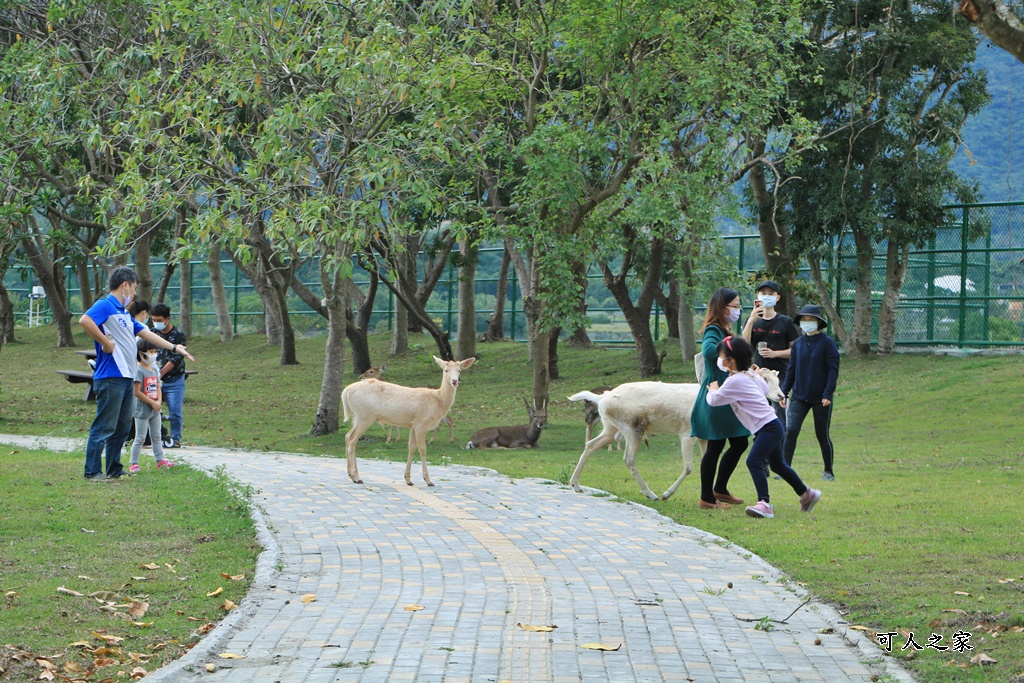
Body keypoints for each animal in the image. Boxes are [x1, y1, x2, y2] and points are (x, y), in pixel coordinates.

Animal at [342, 358, 473, 485]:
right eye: (446, 370)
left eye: (459, 370)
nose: (454, 381)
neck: (438, 400)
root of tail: (346, 391)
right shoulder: (421, 423)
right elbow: (422, 449)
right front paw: (428, 480)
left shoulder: (413, 425)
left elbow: (411, 447)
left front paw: (408, 479)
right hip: (365, 415)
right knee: (352, 440)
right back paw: (357, 477)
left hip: (358, 416)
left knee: (347, 436)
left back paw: (350, 475)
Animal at [569, 366, 782, 499]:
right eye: (763, 378)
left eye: (778, 378)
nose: (781, 395)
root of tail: (602, 398)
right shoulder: (687, 433)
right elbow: (688, 467)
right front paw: (667, 494)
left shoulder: (704, 438)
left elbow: (708, 464)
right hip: (632, 427)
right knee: (628, 459)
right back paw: (651, 494)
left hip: (610, 427)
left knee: (591, 445)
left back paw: (575, 484)